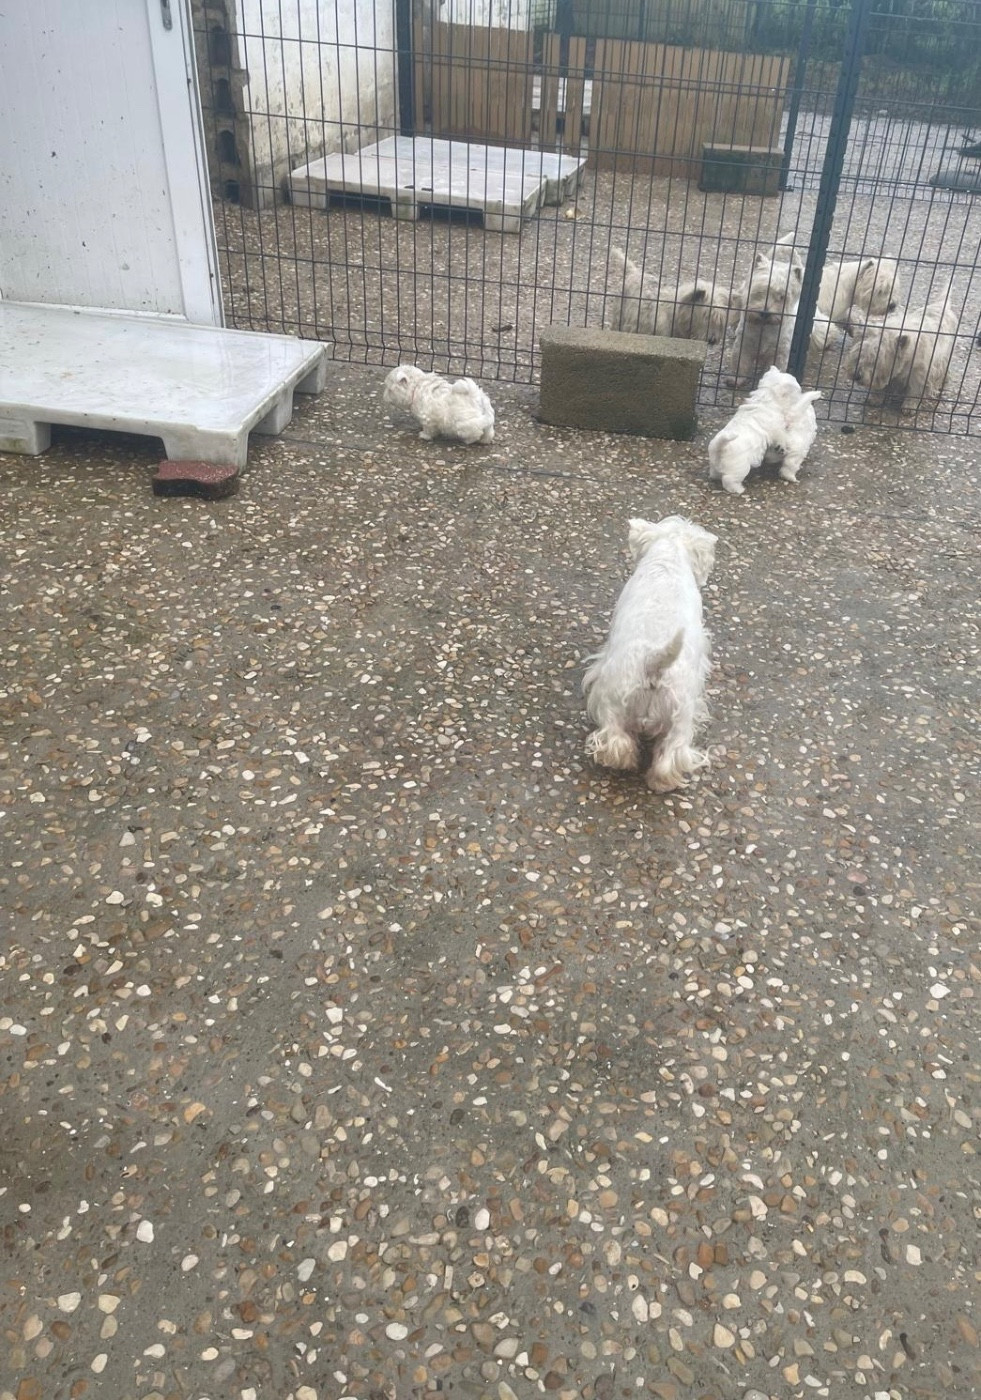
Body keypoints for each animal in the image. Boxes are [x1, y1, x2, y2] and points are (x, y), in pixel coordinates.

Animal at [609, 249, 740, 346]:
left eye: (721, 319)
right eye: (705, 316)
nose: (712, 340)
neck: (675, 317)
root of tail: (634, 272)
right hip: (618, 318)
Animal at [708, 366, 822, 495]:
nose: (801, 391)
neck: (765, 398)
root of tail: (719, 446)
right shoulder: (777, 427)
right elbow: (782, 436)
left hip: (715, 463)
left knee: (715, 473)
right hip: (739, 467)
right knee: (729, 480)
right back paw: (739, 489)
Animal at [726, 250, 803, 385]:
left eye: (782, 297)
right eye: (760, 291)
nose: (765, 313)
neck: (765, 327)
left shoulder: (780, 352)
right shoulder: (744, 343)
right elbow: (740, 362)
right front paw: (736, 380)